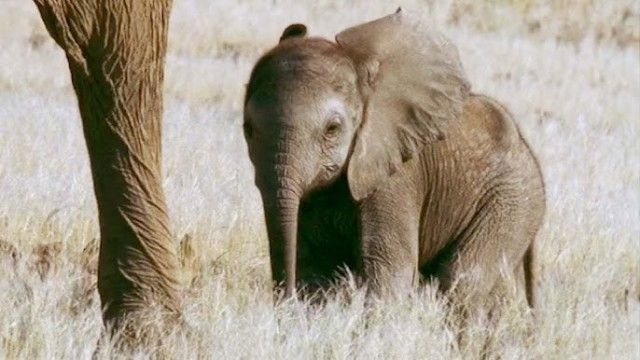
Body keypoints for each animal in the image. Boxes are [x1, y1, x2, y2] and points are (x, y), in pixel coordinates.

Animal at [241, 9, 544, 306]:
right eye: (248, 129)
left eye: (332, 129)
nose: (286, 300)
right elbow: (315, 268)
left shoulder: (395, 174)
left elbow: (388, 269)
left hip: (511, 200)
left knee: (464, 278)